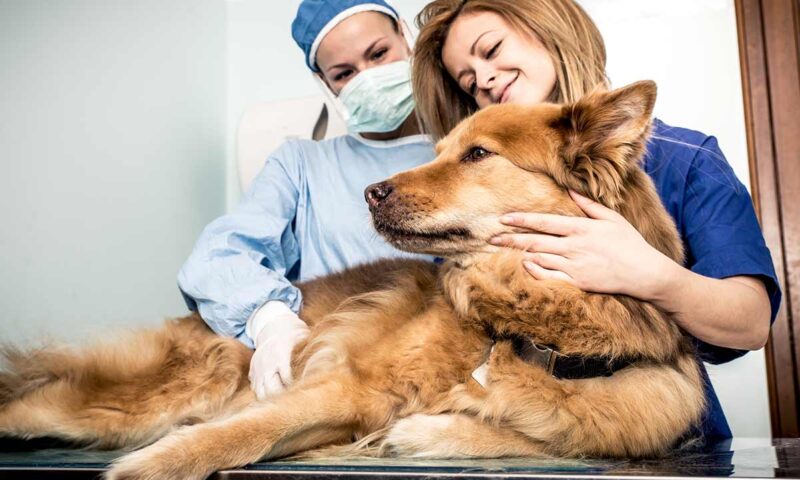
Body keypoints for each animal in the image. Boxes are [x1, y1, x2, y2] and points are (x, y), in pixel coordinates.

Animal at [0, 80, 700, 478]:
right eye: (440, 150)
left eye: (477, 155)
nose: (371, 192)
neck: (528, 327)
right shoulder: (349, 385)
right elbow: (247, 430)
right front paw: (154, 466)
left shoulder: (614, 419)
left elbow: (526, 433)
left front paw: (428, 430)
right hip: (147, 397)